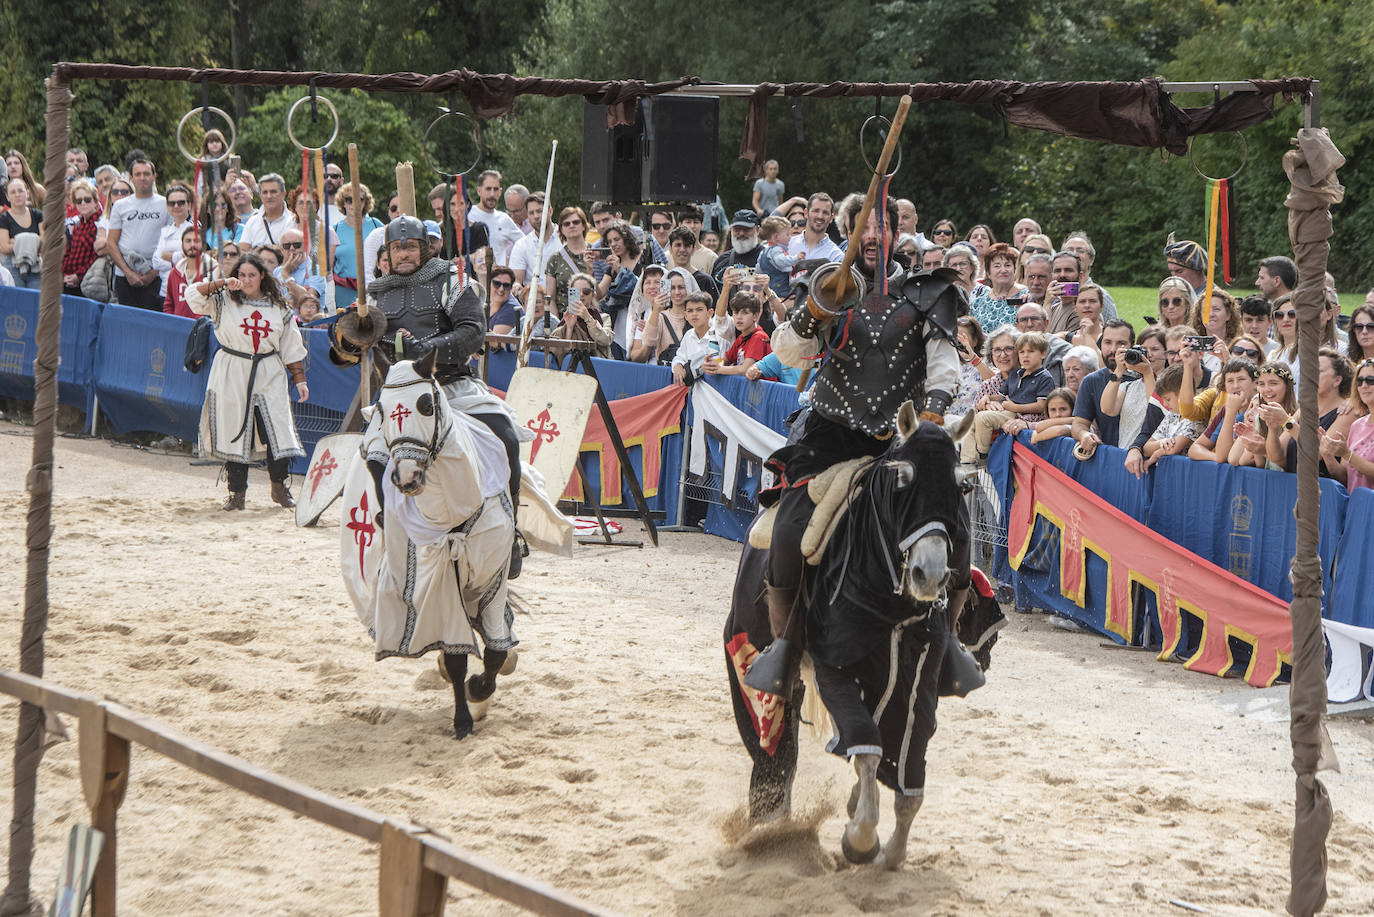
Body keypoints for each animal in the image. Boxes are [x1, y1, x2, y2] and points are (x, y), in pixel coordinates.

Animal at [339, 351, 519, 736]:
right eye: (382, 409)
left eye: (425, 404)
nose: (407, 477)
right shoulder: (436, 583)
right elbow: (455, 658)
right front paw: (464, 716)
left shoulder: (492, 577)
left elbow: (496, 651)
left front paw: (480, 689)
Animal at [725, 404, 1005, 874]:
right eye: (903, 478)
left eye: (961, 484)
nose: (930, 574)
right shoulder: (834, 668)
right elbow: (868, 748)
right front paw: (860, 838)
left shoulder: (915, 683)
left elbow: (907, 769)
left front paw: (892, 851)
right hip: (752, 652)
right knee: (774, 740)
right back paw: (770, 826)